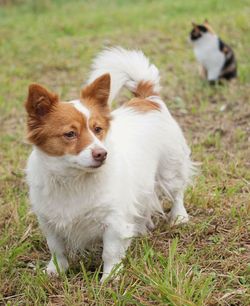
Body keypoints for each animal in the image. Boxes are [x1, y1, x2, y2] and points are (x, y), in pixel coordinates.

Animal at [24, 46, 193, 282]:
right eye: (70, 134)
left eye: (98, 129)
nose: (102, 154)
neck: (73, 179)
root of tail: (147, 99)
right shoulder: (49, 220)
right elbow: (57, 248)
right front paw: (56, 270)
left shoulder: (114, 220)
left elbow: (110, 251)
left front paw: (110, 277)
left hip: (170, 169)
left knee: (177, 192)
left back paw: (178, 216)